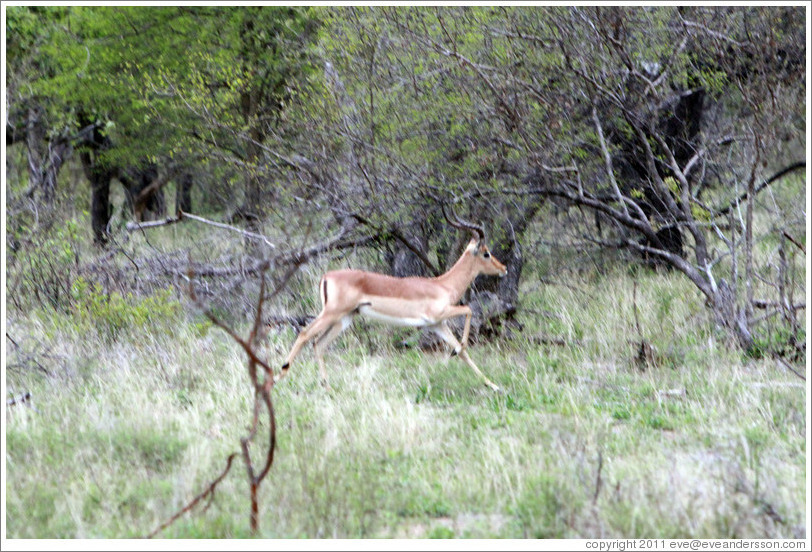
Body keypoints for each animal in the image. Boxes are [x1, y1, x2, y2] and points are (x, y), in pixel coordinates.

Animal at [277, 206, 507, 392]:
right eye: (486, 253)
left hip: (344, 319)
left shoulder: (437, 324)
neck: (442, 285)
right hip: (331, 314)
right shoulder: (439, 314)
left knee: (319, 344)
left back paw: (327, 387)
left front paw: (493, 385)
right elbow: (468, 310)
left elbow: (463, 352)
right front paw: (461, 351)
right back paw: (280, 375)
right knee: (305, 334)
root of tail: (326, 276)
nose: (503, 268)